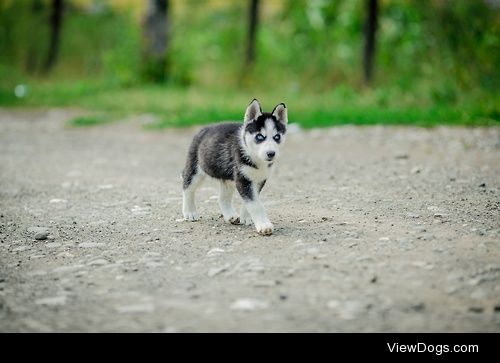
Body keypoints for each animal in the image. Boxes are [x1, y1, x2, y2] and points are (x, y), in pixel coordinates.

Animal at [182, 99, 288, 236]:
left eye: (277, 137)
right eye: (259, 136)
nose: (271, 153)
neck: (254, 157)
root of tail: (205, 128)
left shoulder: (258, 179)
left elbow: (251, 201)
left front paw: (246, 217)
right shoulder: (243, 179)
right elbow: (255, 204)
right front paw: (264, 225)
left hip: (227, 178)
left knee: (222, 198)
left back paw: (230, 216)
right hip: (196, 169)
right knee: (188, 187)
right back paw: (189, 212)